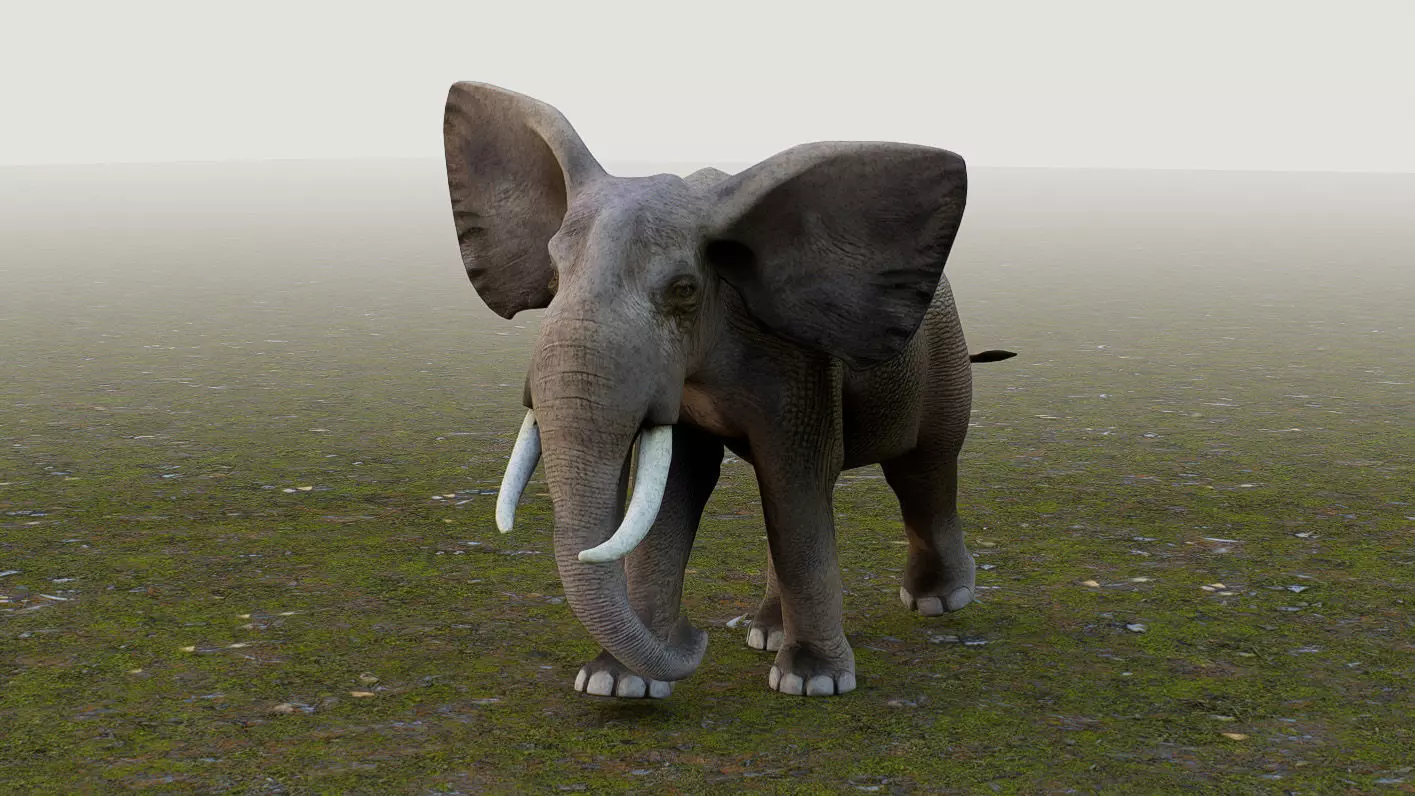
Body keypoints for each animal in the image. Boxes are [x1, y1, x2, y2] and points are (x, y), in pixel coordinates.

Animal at [442, 82, 1015, 699]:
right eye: (554, 273)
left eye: (685, 289)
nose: (696, 638)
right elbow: (679, 488)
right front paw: (617, 685)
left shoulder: (798, 360)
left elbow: (794, 482)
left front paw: (812, 683)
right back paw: (764, 631)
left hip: (944, 362)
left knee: (921, 470)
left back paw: (939, 602)